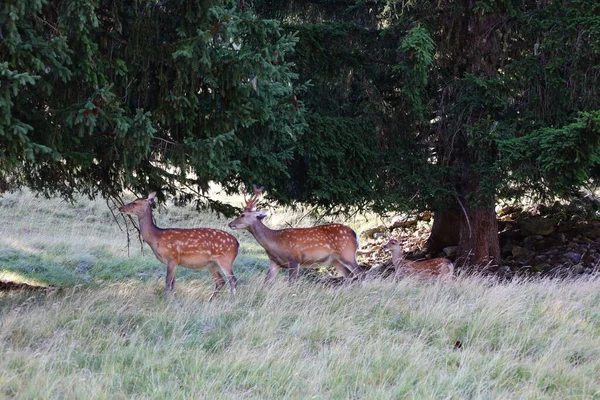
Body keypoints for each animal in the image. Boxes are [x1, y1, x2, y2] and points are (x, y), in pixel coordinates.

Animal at [227, 186, 364, 282]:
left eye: (242, 215)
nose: (230, 224)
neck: (275, 242)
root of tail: (355, 234)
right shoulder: (275, 262)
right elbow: (266, 282)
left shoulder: (294, 260)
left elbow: (291, 283)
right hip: (336, 260)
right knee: (349, 276)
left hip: (347, 253)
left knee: (361, 274)